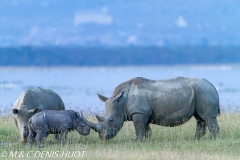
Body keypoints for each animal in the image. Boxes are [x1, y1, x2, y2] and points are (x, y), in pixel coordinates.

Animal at [81, 77, 220, 141]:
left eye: (110, 120)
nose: (103, 137)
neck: (122, 100)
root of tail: (213, 85)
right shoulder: (144, 113)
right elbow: (146, 129)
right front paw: (146, 141)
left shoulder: (139, 112)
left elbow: (139, 128)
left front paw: (136, 141)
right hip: (200, 92)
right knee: (200, 118)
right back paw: (195, 140)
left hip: (204, 91)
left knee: (208, 117)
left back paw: (211, 140)